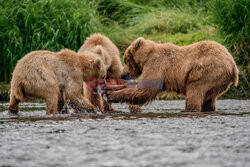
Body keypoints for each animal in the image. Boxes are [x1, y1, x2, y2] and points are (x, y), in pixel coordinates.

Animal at [106, 37, 239, 111]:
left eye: (125, 60)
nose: (122, 75)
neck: (146, 57)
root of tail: (233, 66)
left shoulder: (157, 65)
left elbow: (146, 89)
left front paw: (112, 94)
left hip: (206, 71)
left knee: (194, 92)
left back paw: (190, 109)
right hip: (218, 82)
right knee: (209, 99)